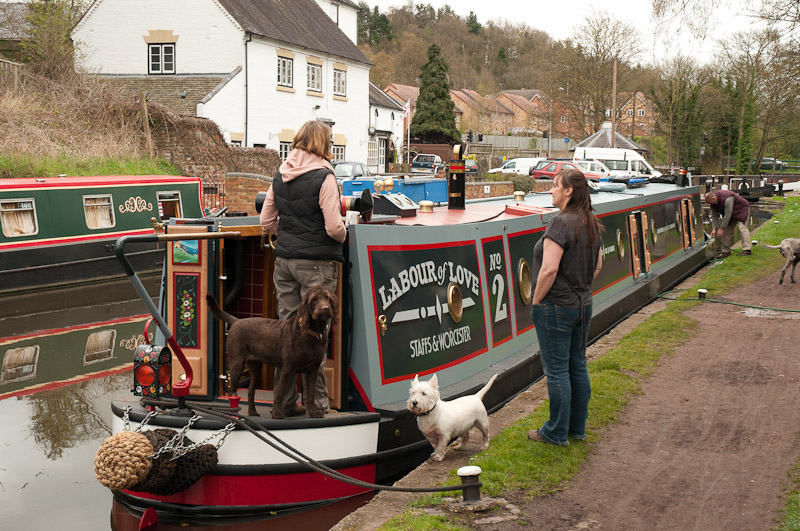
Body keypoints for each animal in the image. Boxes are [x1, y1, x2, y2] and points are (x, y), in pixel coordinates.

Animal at [206, 286, 338, 420]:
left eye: (327, 297)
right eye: (314, 299)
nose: (325, 308)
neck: (311, 334)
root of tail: (237, 321)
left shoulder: (313, 370)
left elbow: (311, 395)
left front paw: (313, 412)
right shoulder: (287, 369)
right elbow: (279, 394)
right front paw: (276, 413)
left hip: (255, 368)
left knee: (250, 390)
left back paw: (252, 412)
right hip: (236, 365)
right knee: (232, 392)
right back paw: (234, 413)